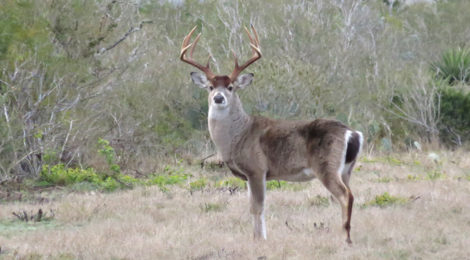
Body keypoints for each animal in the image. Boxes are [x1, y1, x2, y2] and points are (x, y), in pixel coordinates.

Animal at [180, 25, 364, 243]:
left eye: (231, 87)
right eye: (210, 87)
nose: (218, 98)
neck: (238, 136)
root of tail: (352, 133)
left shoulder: (257, 168)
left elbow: (257, 208)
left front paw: (260, 240)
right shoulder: (250, 175)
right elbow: (253, 207)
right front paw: (256, 237)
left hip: (326, 165)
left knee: (345, 195)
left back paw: (345, 238)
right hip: (346, 169)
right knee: (350, 194)